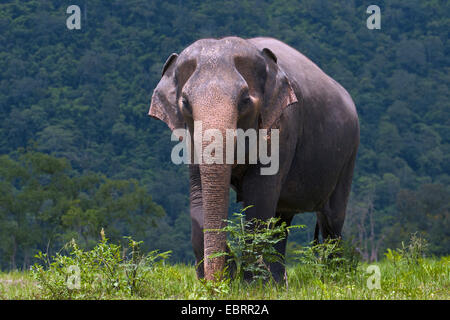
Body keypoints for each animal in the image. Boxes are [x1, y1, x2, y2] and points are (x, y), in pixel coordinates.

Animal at [149, 37, 360, 280]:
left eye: (244, 101)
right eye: (185, 103)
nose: (216, 280)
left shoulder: (282, 126)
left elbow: (258, 197)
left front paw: (248, 282)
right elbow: (199, 196)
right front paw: (229, 274)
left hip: (349, 153)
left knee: (331, 219)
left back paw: (335, 278)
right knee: (282, 220)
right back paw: (278, 283)